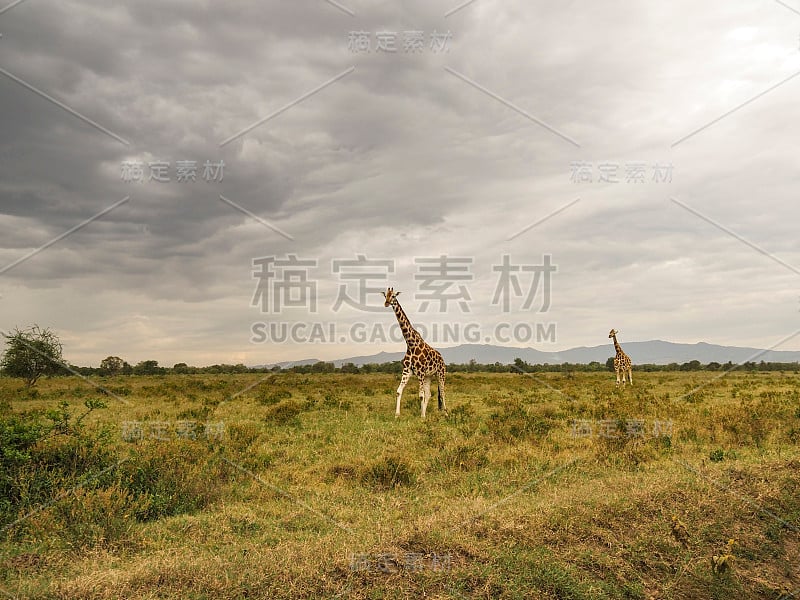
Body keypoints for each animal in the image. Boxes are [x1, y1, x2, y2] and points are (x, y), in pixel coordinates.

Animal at [382, 288, 446, 420]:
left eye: (394, 296)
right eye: (386, 295)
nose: (386, 303)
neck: (410, 344)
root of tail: (442, 358)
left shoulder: (420, 372)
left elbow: (420, 395)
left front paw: (421, 416)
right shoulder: (407, 371)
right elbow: (399, 391)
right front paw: (397, 415)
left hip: (440, 373)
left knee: (442, 392)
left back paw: (446, 413)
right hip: (428, 376)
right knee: (429, 394)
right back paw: (426, 414)